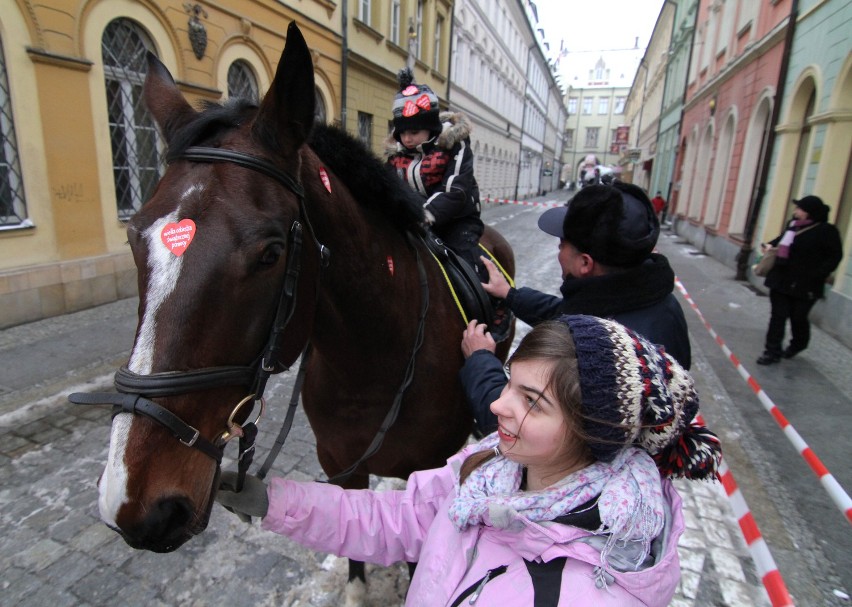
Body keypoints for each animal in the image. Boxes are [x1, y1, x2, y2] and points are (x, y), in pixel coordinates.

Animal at [71, 20, 512, 604]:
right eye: (133, 238)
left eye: (271, 253)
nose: (135, 504)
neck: (377, 365)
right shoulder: (343, 471)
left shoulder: (424, 471)